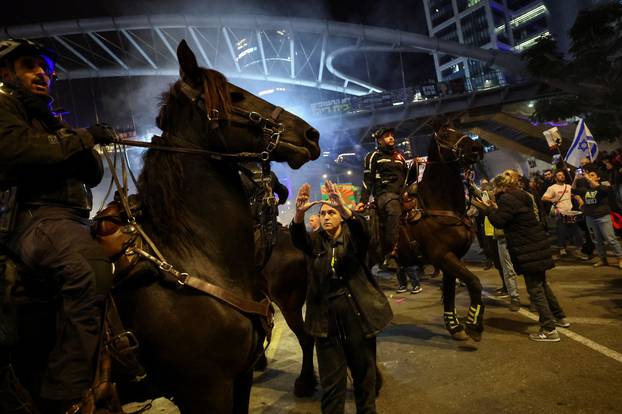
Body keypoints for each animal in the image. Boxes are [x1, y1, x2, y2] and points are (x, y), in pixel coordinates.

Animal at [400, 124, 488, 342]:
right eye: (446, 134)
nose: (476, 148)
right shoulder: (443, 255)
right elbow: (474, 282)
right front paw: (474, 325)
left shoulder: (451, 258)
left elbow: (449, 292)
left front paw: (455, 327)